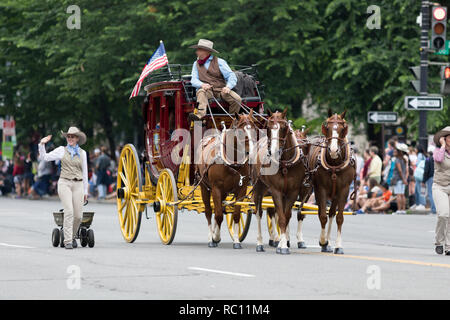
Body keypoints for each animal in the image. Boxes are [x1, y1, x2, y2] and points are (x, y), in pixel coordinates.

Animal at [197, 111, 256, 249]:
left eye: (254, 128)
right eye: (241, 131)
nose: (251, 151)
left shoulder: (241, 189)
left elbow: (235, 215)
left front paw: (236, 241)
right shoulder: (216, 188)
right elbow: (218, 215)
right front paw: (215, 237)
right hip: (204, 187)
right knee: (209, 211)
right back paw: (211, 237)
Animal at [251, 109, 308, 254]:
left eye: (283, 127)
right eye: (268, 128)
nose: (274, 151)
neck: (285, 165)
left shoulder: (293, 191)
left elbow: (286, 216)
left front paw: (283, 243)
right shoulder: (276, 191)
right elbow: (281, 218)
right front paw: (282, 246)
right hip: (258, 187)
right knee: (259, 213)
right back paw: (259, 243)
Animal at [308, 110, 356, 255]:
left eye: (342, 129)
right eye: (327, 128)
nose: (334, 150)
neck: (334, 164)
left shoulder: (344, 191)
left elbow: (339, 217)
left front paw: (337, 246)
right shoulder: (321, 189)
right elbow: (322, 216)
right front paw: (323, 241)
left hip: (334, 195)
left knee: (332, 213)